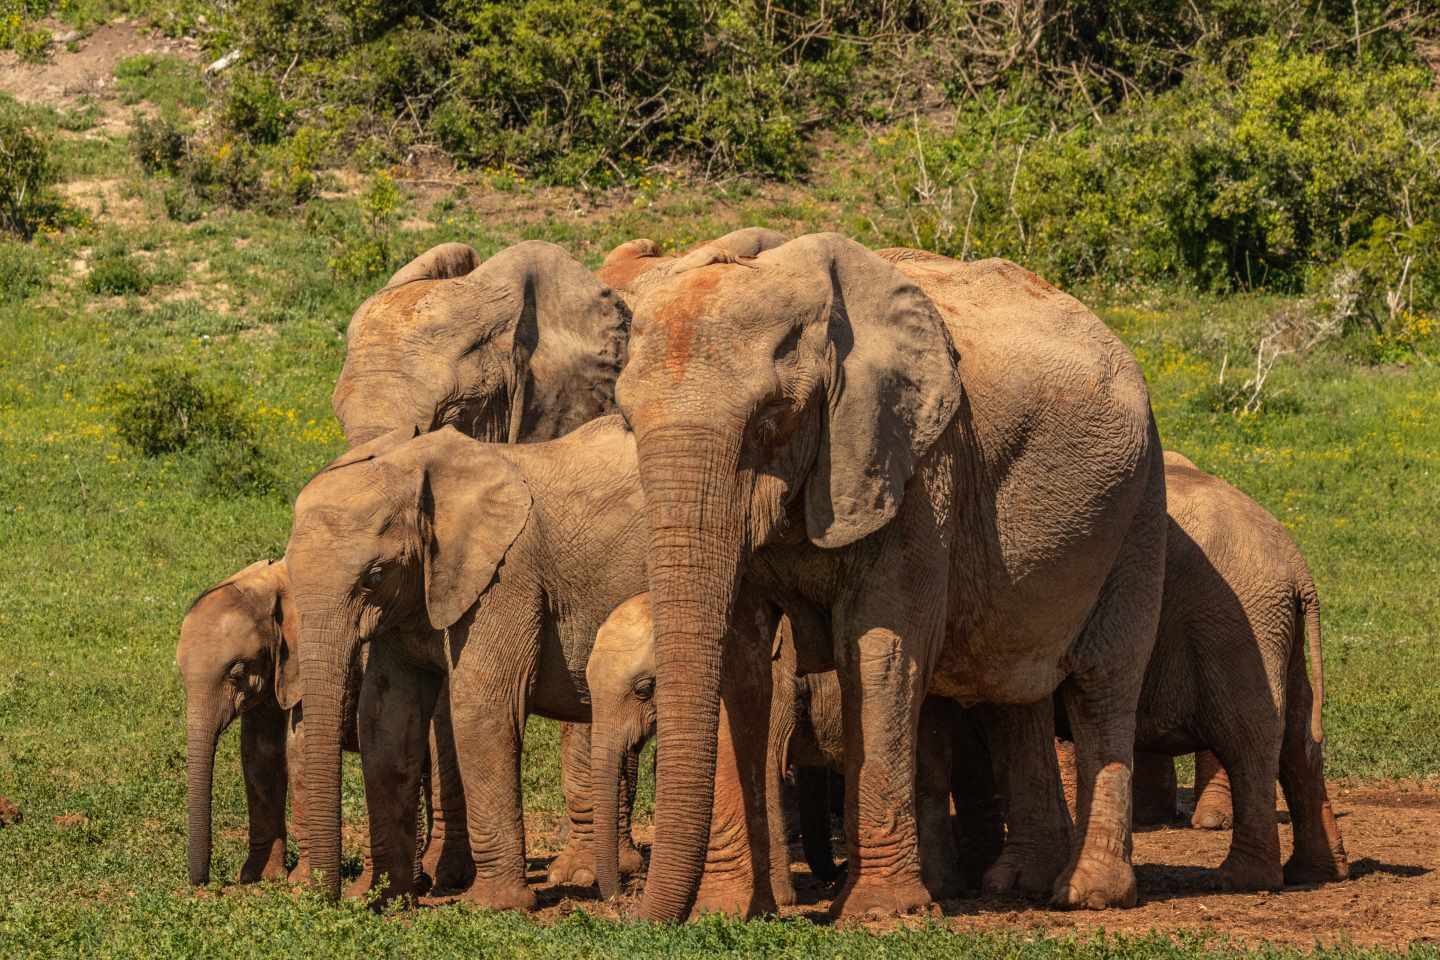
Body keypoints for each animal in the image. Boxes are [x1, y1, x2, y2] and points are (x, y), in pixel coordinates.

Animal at [616, 236, 1169, 921]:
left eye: (770, 419)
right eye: (627, 423)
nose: (636, 919)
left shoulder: (919, 467)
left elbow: (882, 652)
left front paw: (879, 915)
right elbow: (738, 658)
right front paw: (723, 912)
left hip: (1140, 500)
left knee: (1102, 680)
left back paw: (1086, 894)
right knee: (1012, 687)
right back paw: (1010, 884)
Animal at [1059, 454, 1347, 892]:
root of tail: (1299, 568)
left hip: (1234, 624)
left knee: (1247, 733)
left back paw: (1238, 878)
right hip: (1279, 635)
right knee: (1300, 738)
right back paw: (1317, 872)